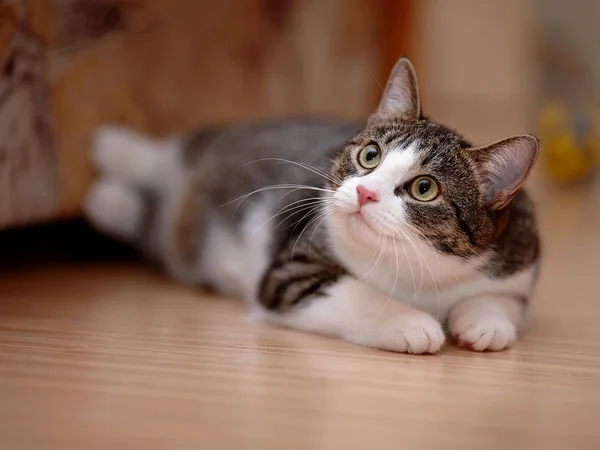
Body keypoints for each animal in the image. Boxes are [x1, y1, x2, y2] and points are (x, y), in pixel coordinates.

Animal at [85, 57, 544, 352]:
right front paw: (410, 323)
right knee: (179, 150)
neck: (422, 271)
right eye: (370, 155)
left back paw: (113, 199)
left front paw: (486, 322)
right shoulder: (290, 269)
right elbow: (354, 293)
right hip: (215, 151)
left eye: (424, 188)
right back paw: (115, 152)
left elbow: (507, 301)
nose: (364, 192)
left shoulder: (519, 258)